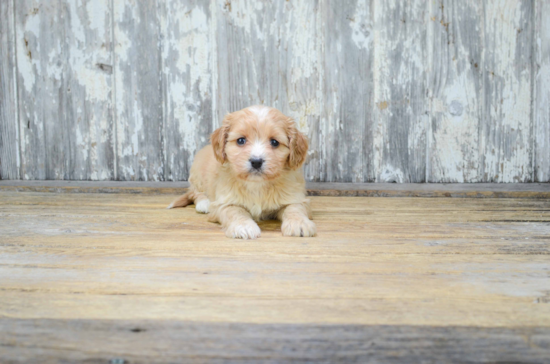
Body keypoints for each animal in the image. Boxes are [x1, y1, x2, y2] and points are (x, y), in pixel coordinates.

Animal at [168, 104, 316, 239]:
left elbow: (295, 208)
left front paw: (299, 223)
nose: (256, 161)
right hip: (197, 175)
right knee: (195, 192)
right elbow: (235, 211)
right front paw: (243, 226)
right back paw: (204, 203)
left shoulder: (295, 197)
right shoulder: (224, 201)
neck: (257, 184)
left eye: (274, 142)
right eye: (241, 140)